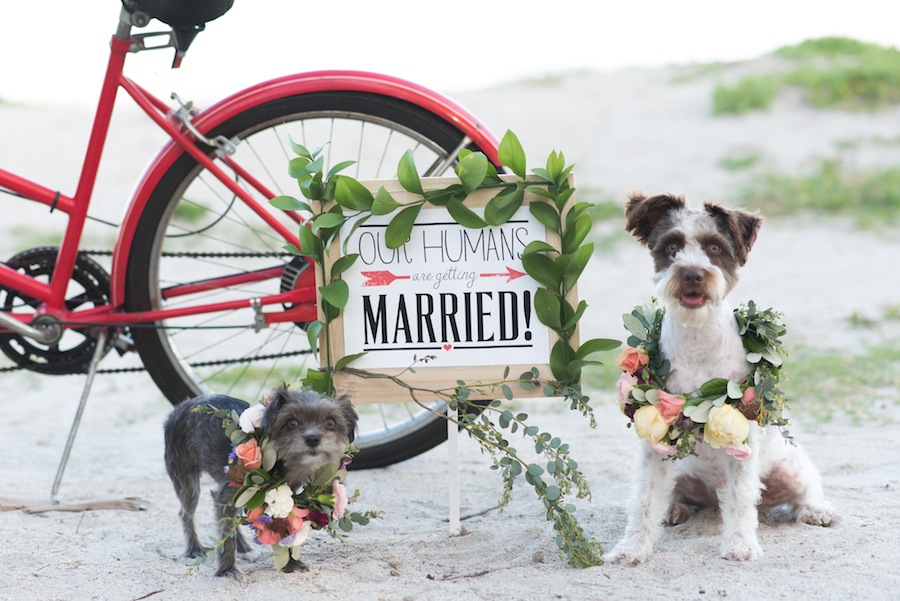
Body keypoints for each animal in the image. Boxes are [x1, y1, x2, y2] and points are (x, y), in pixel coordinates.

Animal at [163, 384, 356, 576]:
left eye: (330, 422)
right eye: (292, 423)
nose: (313, 438)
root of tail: (180, 407)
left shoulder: (284, 498)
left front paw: (291, 563)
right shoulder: (231, 491)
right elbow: (226, 533)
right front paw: (227, 570)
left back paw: (243, 548)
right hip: (187, 481)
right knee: (187, 513)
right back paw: (194, 548)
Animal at [604, 191, 836, 564]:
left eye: (714, 247)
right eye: (671, 247)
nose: (692, 274)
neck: (698, 339)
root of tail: (713, 497)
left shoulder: (740, 439)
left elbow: (740, 499)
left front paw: (740, 545)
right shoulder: (654, 444)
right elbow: (644, 500)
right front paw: (631, 549)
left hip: (791, 468)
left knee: (801, 491)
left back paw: (816, 510)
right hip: (681, 472)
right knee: (678, 497)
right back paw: (675, 510)